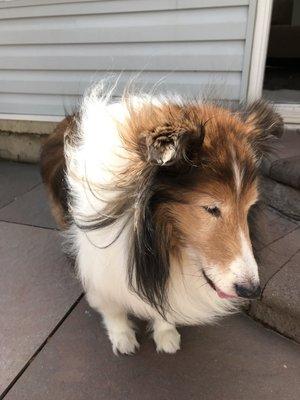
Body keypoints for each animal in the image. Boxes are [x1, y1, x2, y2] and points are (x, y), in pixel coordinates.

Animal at [41, 84, 282, 354]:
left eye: (249, 207)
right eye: (211, 208)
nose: (251, 290)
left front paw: (166, 333)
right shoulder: (98, 264)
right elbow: (112, 307)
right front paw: (122, 337)